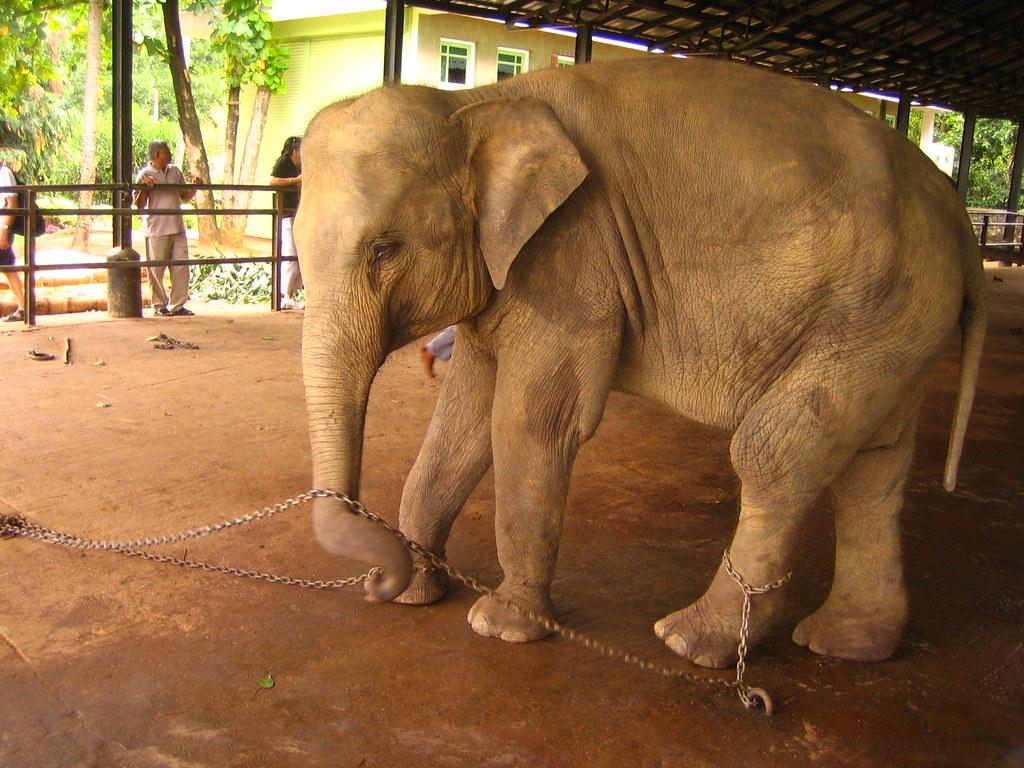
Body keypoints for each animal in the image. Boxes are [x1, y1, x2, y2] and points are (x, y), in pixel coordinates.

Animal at [294, 56, 986, 669]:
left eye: (384, 249)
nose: (377, 580)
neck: (477, 103)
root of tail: (957, 215)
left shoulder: (574, 258)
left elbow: (531, 421)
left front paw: (502, 626)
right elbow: (463, 420)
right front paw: (415, 594)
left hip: (874, 310)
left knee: (778, 451)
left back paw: (690, 641)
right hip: (894, 325)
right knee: (872, 466)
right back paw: (845, 645)